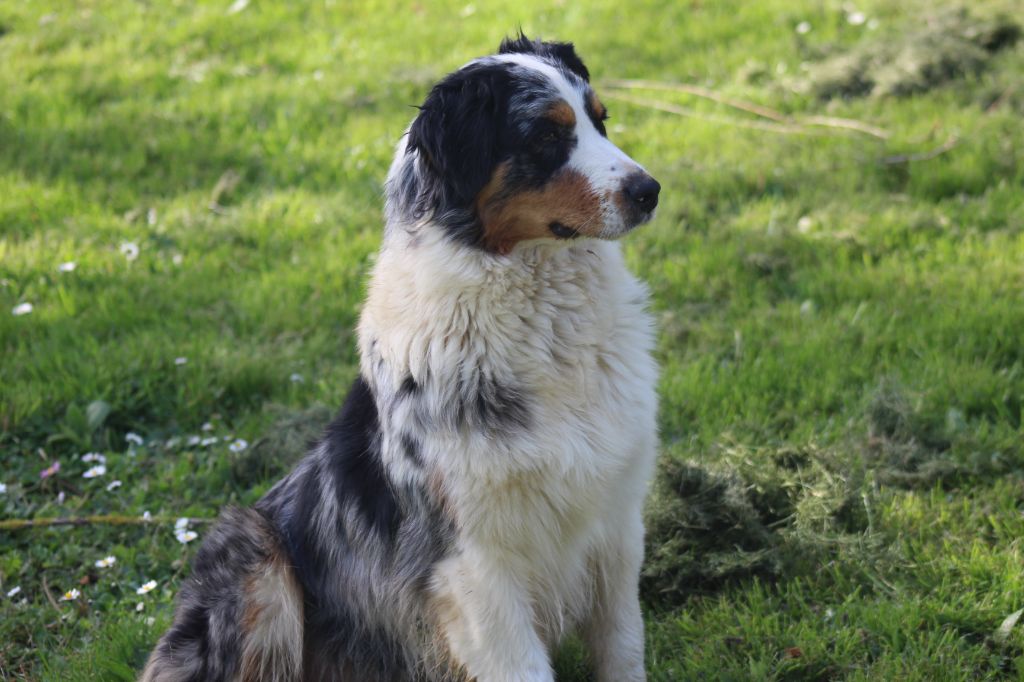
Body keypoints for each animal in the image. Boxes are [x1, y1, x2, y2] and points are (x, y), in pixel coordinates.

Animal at [140, 34, 659, 679]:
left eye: (600, 120)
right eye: (545, 136)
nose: (650, 191)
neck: (548, 327)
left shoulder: (615, 520)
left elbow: (622, 646)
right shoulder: (473, 563)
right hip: (258, 559)